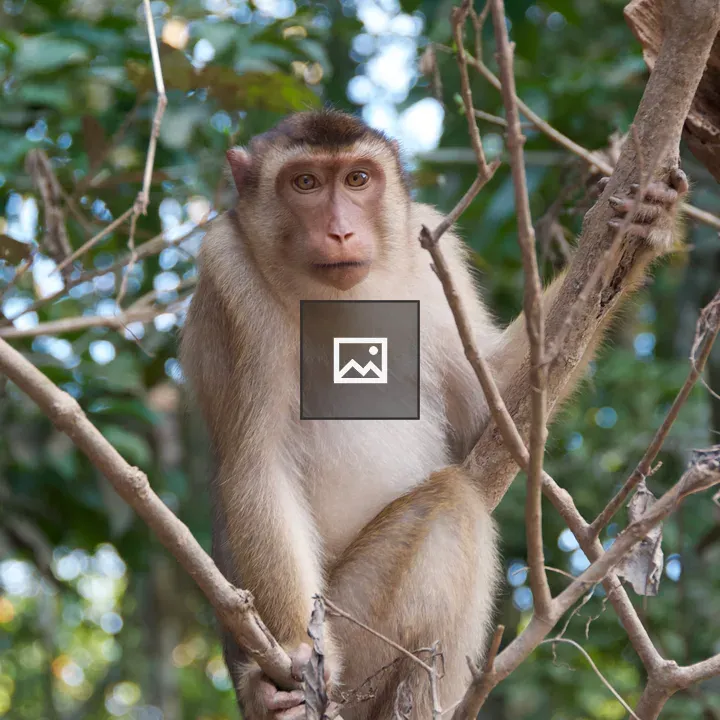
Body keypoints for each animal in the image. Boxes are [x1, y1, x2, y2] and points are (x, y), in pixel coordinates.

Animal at [179, 110, 687, 720]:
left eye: (357, 179)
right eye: (304, 183)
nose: (341, 231)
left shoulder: (429, 256)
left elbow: (488, 415)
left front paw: (646, 228)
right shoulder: (227, 271)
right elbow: (259, 466)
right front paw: (296, 661)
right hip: (354, 634)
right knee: (450, 503)